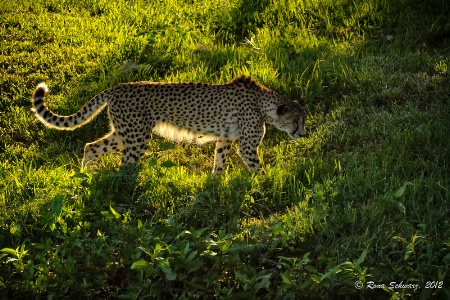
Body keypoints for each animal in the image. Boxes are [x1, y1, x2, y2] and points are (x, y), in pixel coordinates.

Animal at [30, 75, 306, 172]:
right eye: (296, 121)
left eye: (304, 120)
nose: (303, 134)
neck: (263, 103)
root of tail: (118, 87)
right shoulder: (247, 146)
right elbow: (257, 168)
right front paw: (265, 184)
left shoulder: (225, 138)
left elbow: (219, 162)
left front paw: (215, 185)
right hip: (137, 138)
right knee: (125, 165)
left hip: (125, 133)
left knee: (92, 146)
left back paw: (84, 175)